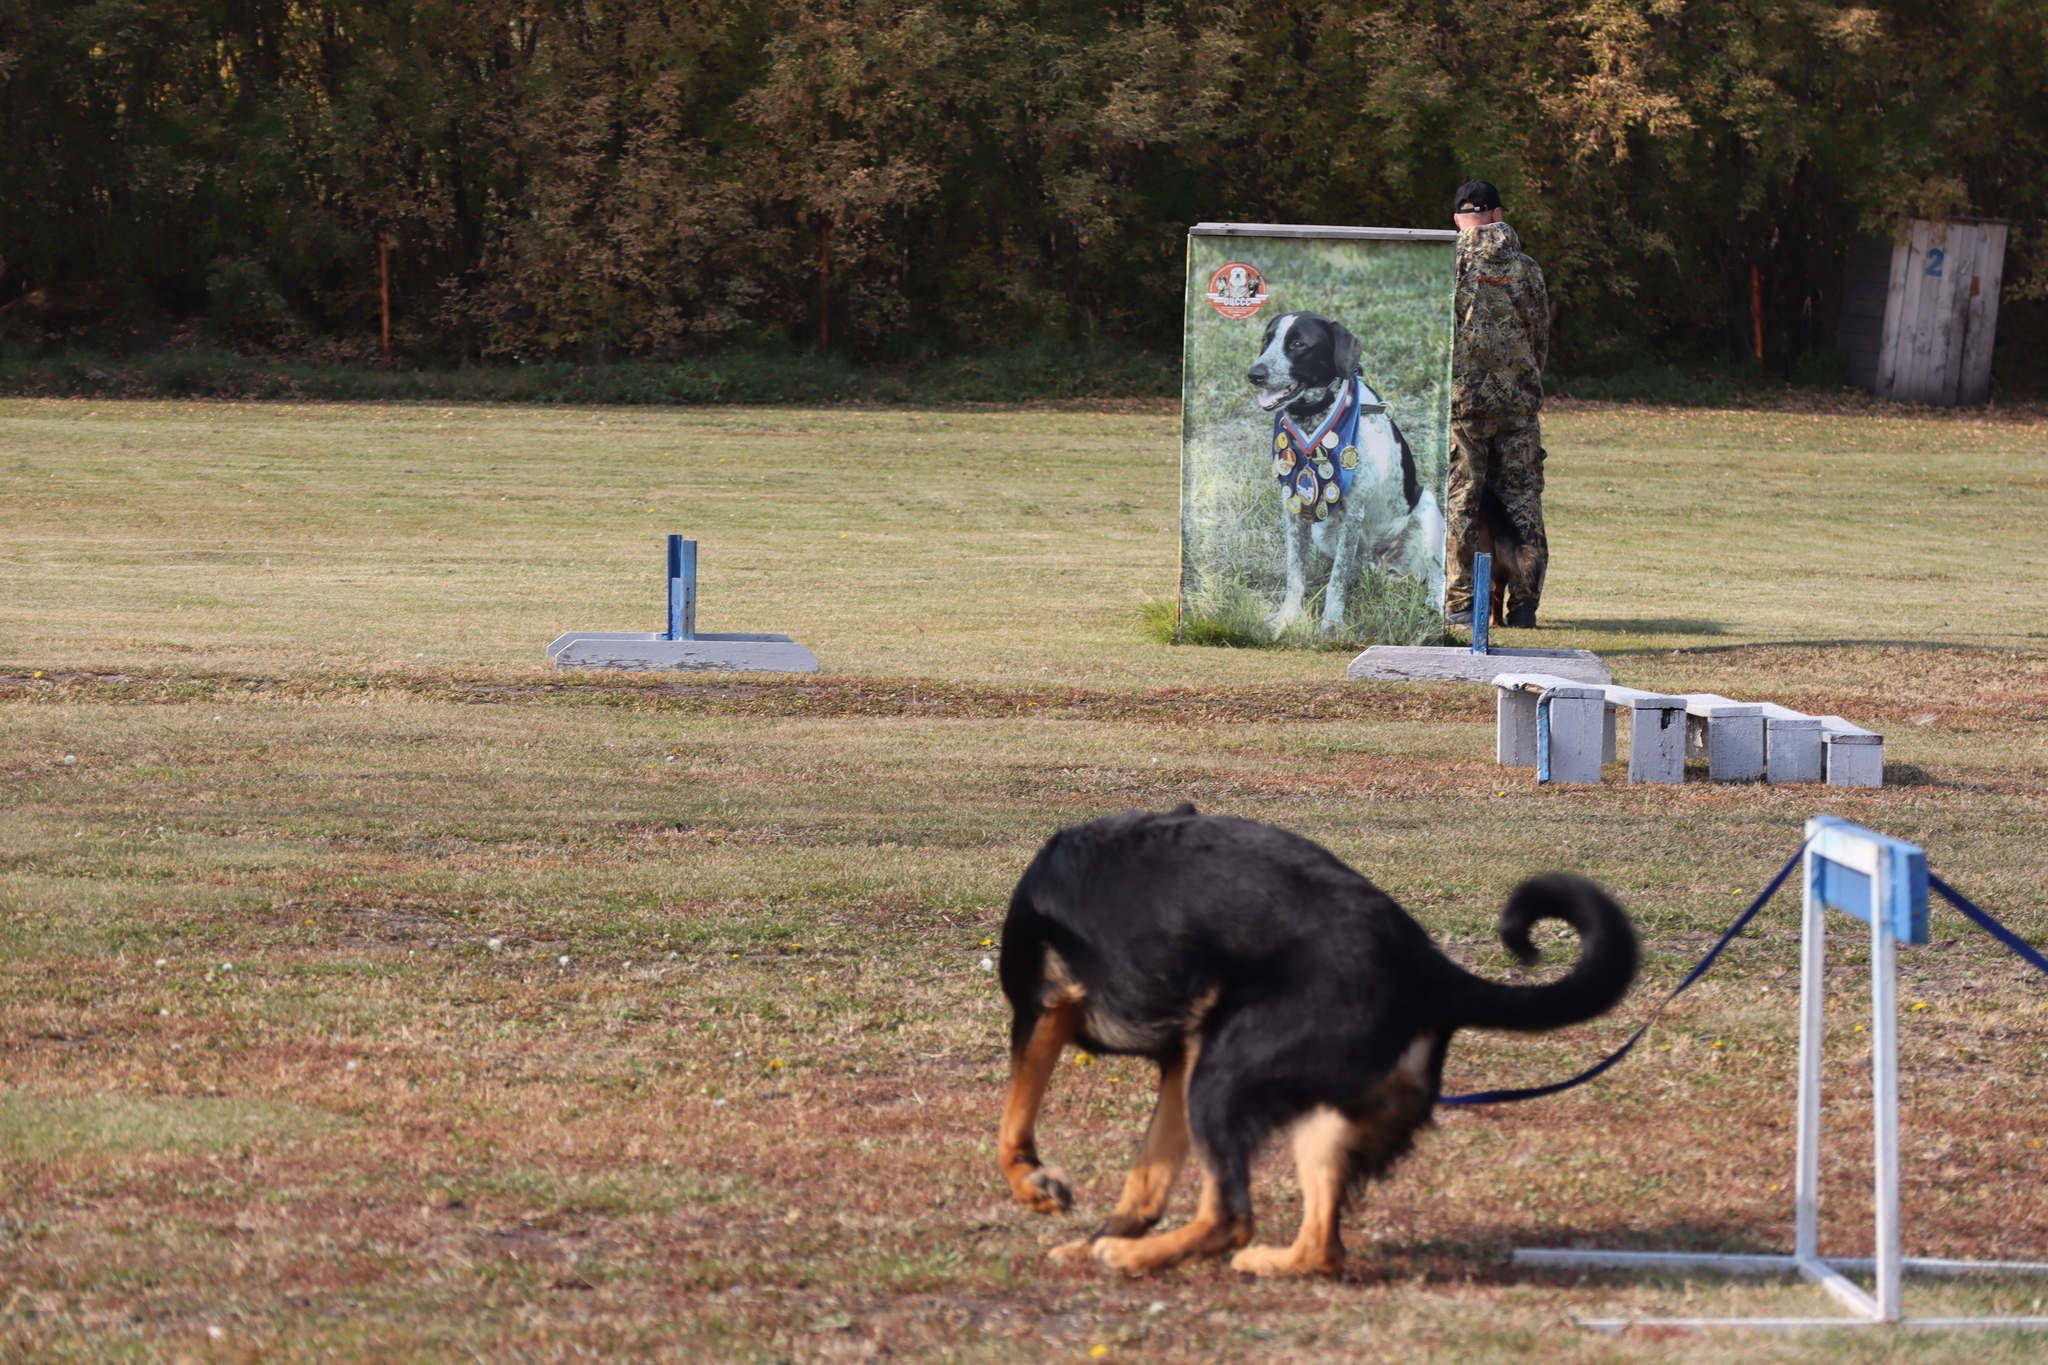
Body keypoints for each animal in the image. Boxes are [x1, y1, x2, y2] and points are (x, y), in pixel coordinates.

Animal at [991, 806, 1630, 1277]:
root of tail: (1429, 971)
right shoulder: (1181, 1054)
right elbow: (1147, 1176)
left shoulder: (1043, 1007)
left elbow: (1012, 1124)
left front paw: (1033, 1185)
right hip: (1305, 1112)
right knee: (1321, 1250)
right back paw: (1244, 1260)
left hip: (1222, 1076)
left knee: (1231, 1217)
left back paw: (1129, 1256)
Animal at [1236, 313, 1449, 634]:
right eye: (1266, 340)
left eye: (1298, 344)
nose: (1254, 374)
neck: (1313, 418)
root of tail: (1382, 562)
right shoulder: (1293, 507)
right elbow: (1295, 572)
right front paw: (1287, 616)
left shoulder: (1353, 511)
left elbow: (1335, 582)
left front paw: (1330, 625)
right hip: (1323, 531)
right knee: (1350, 567)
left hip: (1428, 510)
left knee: (1437, 571)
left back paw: (1436, 602)